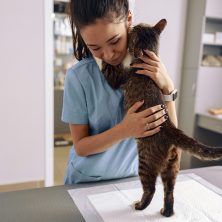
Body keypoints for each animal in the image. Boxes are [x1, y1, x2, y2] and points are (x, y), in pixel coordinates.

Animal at [93, 19, 222, 217]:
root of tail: (169, 127)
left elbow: (109, 68)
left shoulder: (119, 77)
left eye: (134, 31)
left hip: (145, 161)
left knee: (151, 188)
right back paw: (166, 212)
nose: (132, 26)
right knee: (169, 191)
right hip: (172, 166)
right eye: (139, 26)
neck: (145, 57)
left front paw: (98, 56)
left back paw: (140, 205)